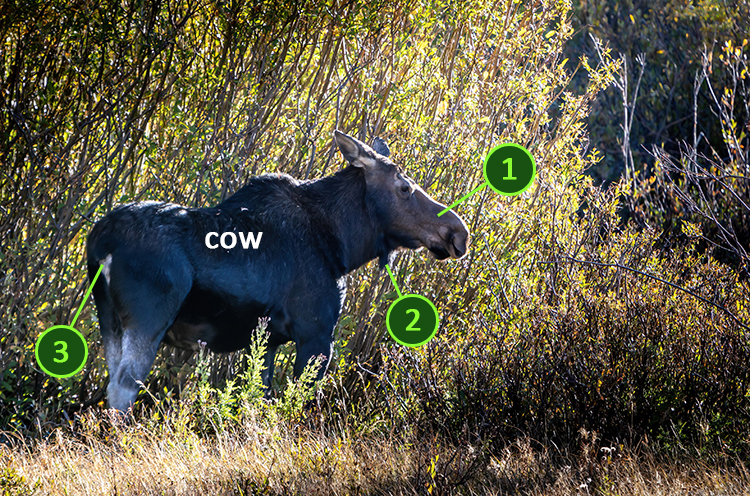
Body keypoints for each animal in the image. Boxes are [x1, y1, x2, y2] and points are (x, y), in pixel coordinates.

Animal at [87, 130, 470, 411]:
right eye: (405, 187)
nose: (458, 233)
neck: (343, 244)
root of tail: (100, 243)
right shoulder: (316, 334)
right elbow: (298, 405)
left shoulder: (267, 340)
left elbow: (260, 396)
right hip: (149, 318)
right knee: (123, 387)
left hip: (109, 320)